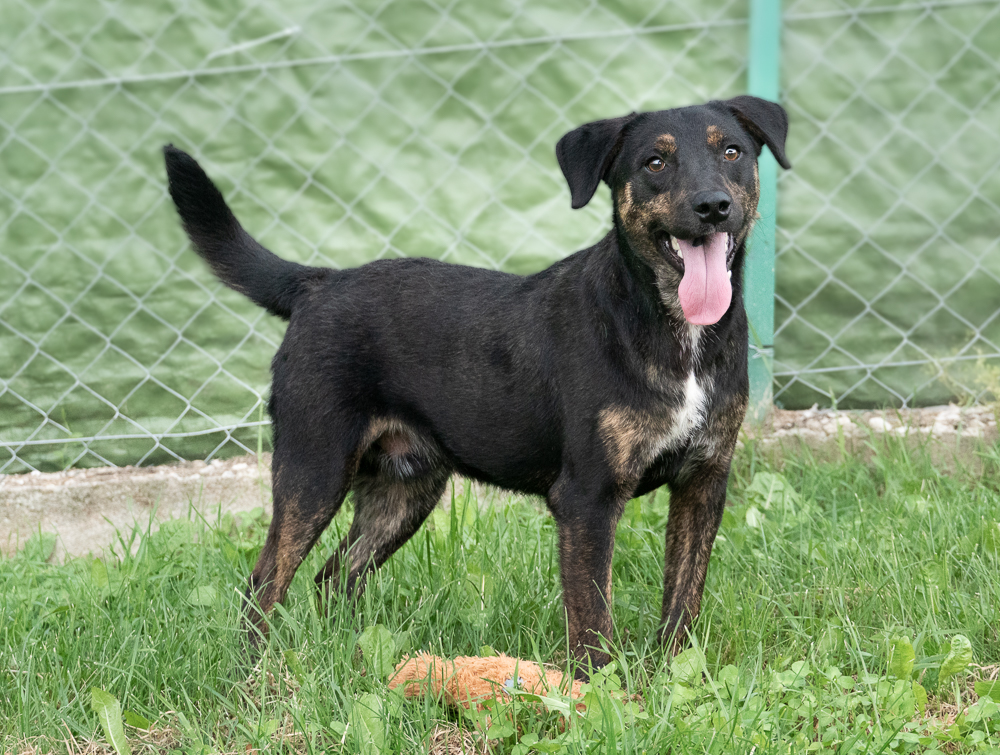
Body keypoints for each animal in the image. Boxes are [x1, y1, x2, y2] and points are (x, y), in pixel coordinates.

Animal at [163, 94, 790, 674]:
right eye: (655, 162)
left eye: (732, 152)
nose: (713, 206)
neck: (672, 329)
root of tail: (316, 283)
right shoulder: (587, 498)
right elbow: (592, 619)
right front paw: (601, 693)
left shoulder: (703, 482)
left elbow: (683, 601)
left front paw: (674, 673)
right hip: (313, 468)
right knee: (264, 583)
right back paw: (255, 678)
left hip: (404, 489)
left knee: (334, 577)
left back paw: (351, 659)